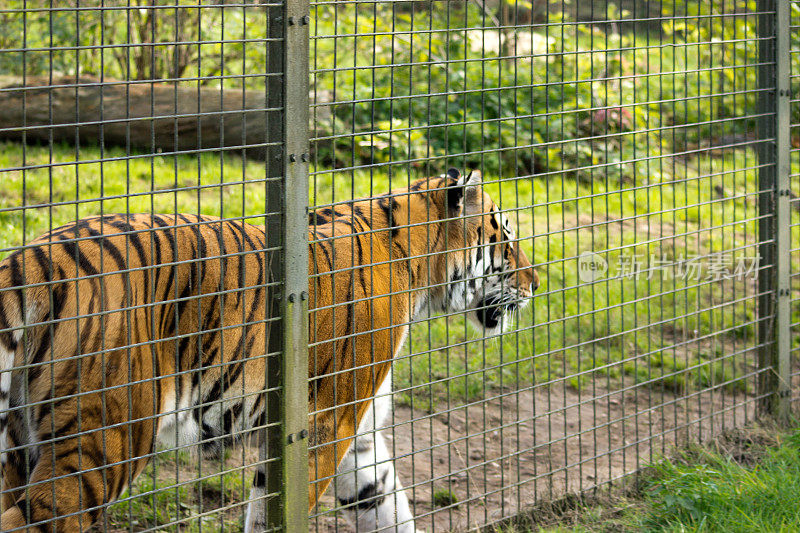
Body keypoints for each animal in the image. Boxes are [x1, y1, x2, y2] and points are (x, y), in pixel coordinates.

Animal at [0, 167, 536, 532]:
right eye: (506, 241)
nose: (535, 284)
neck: (420, 267)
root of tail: (31, 259)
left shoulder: (361, 437)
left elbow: (386, 506)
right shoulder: (326, 422)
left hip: (17, 442)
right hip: (105, 439)